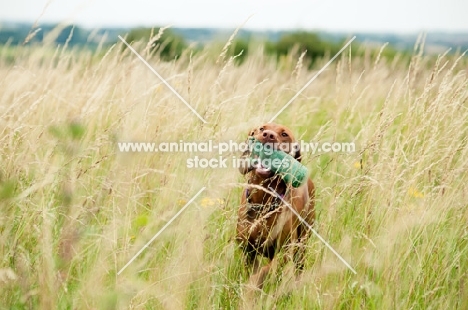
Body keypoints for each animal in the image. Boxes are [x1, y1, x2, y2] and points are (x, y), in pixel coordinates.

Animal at [236, 123, 316, 288]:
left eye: (284, 134)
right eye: (261, 129)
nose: (268, 135)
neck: (263, 201)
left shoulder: (283, 251)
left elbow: (264, 271)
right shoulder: (248, 251)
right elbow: (254, 271)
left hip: (302, 242)